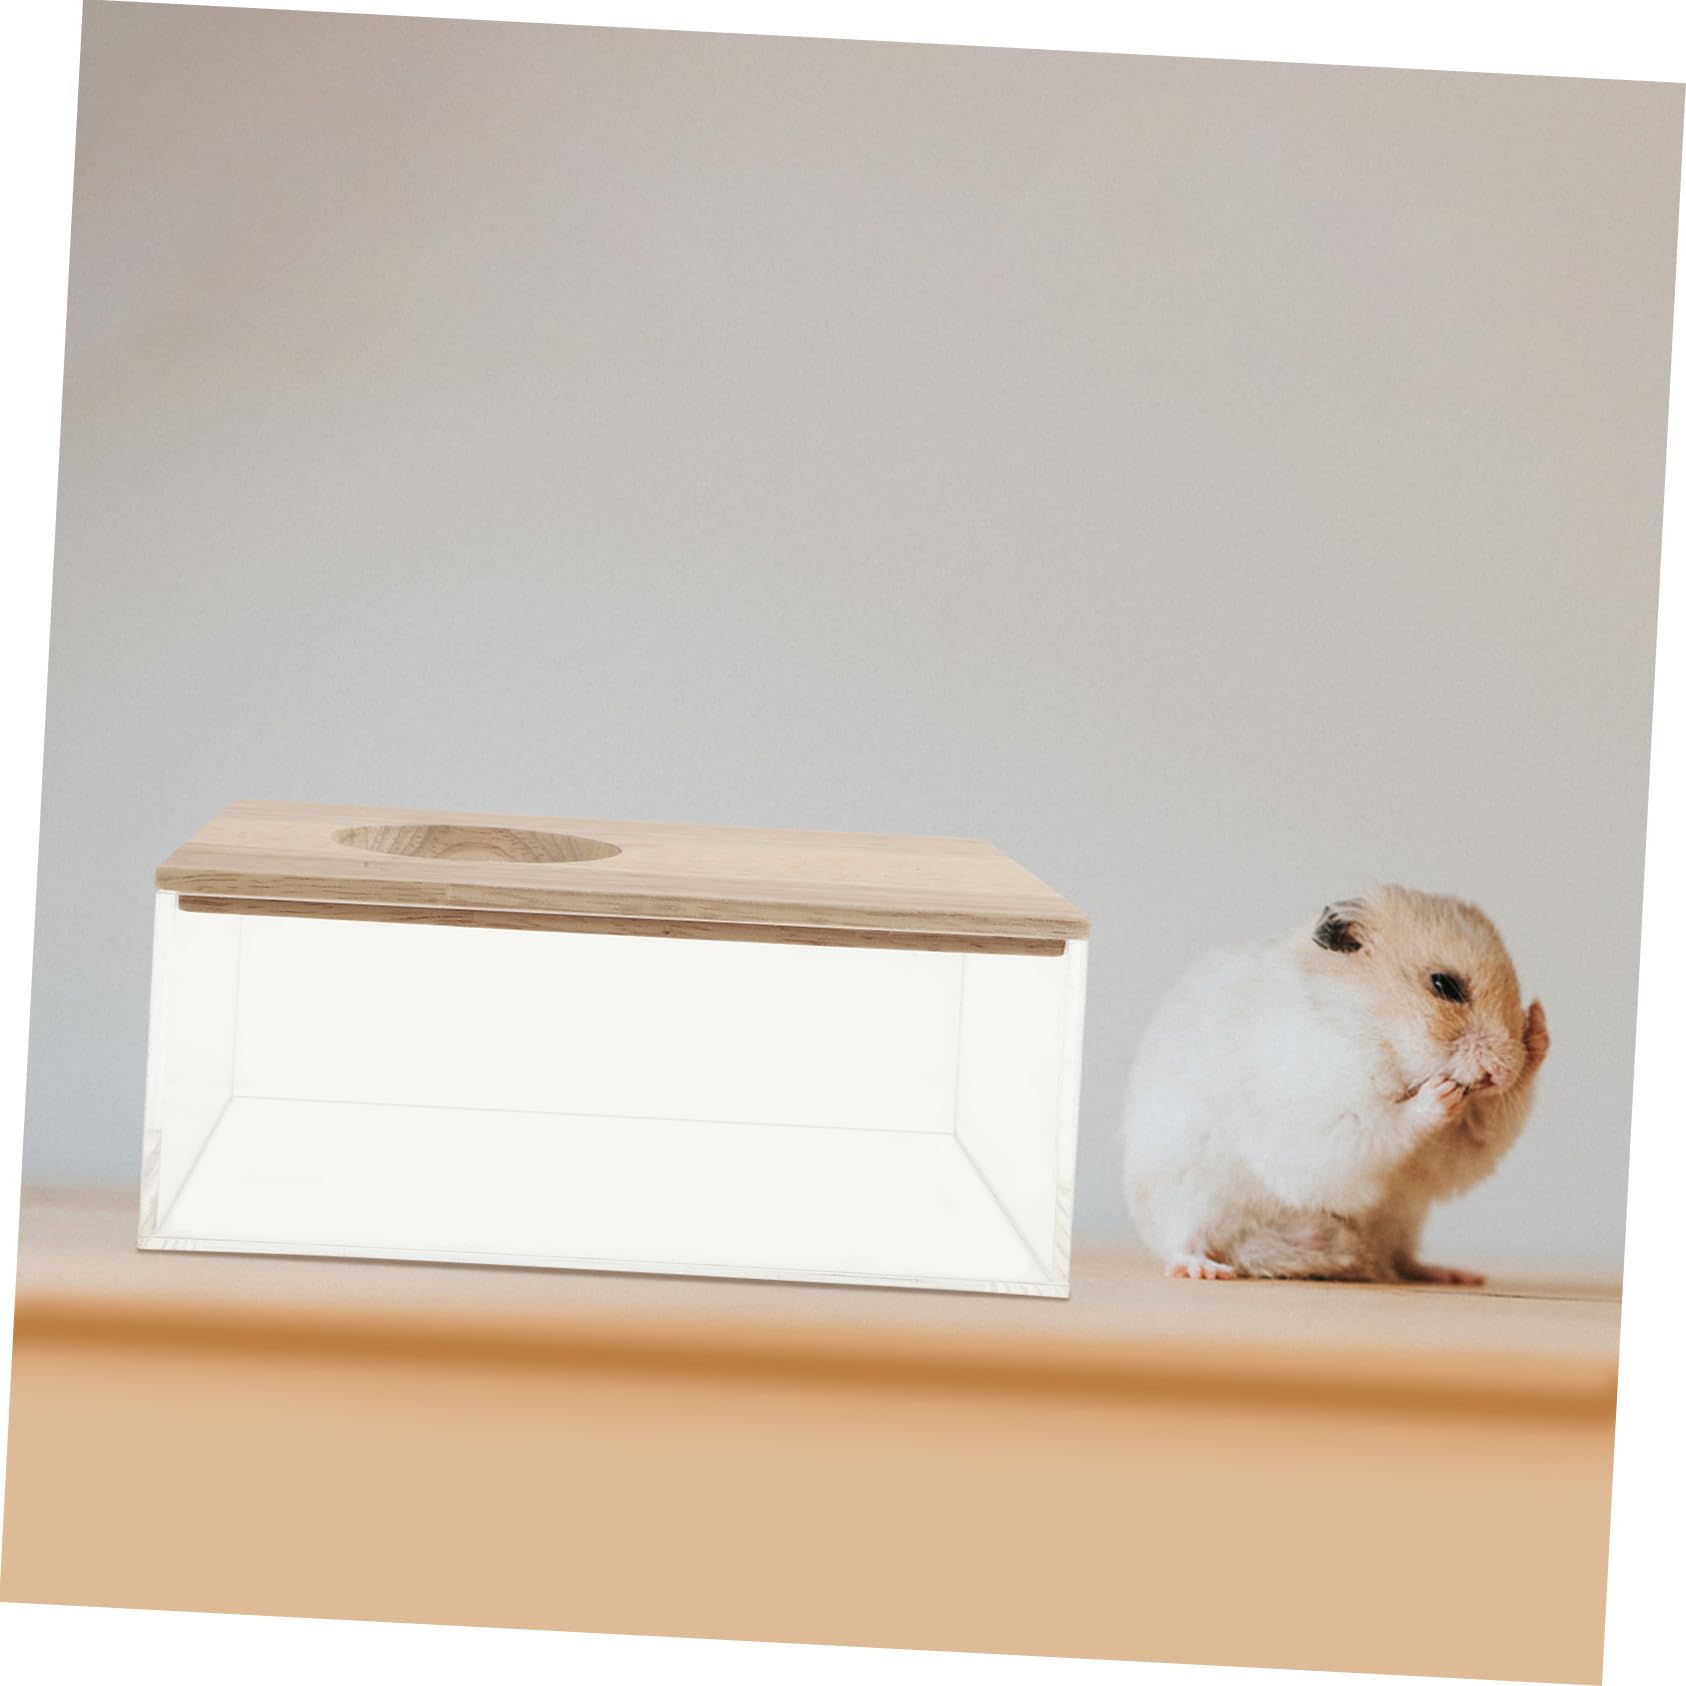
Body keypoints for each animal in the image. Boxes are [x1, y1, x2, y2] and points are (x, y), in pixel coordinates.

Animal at [1121, 885, 1549, 1283]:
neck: (1377, 1029)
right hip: (1183, 1193)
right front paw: (1438, 1096)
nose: (1504, 1071)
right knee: (1182, 1241)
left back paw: (1451, 1274)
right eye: (1444, 985)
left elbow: (1479, 1138)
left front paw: (1537, 1027)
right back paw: (1206, 1269)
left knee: (1402, 1257)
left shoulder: (1447, 1154)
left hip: (1404, 1218)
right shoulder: (1323, 1121)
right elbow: (1383, 1125)